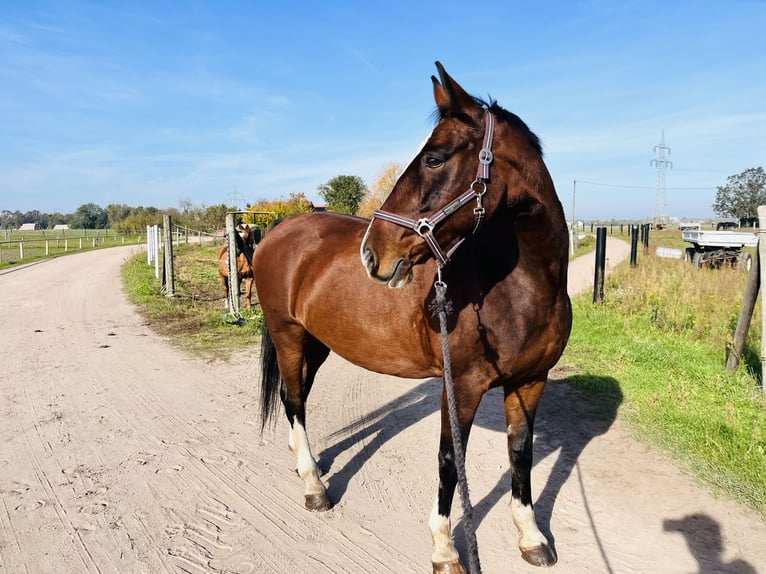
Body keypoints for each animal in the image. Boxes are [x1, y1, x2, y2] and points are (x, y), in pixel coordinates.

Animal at [255, 60, 572, 572]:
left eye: (435, 159)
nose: (372, 253)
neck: (520, 291)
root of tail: (283, 226)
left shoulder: (530, 382)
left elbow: (520, 454)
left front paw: (531, 536)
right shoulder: (460, 385)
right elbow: (449, 461)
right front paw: (444, 547)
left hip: (317, 341)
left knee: (293, 395)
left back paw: (306, 461)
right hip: (288, 335)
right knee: (295, 400)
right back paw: (313, 484)